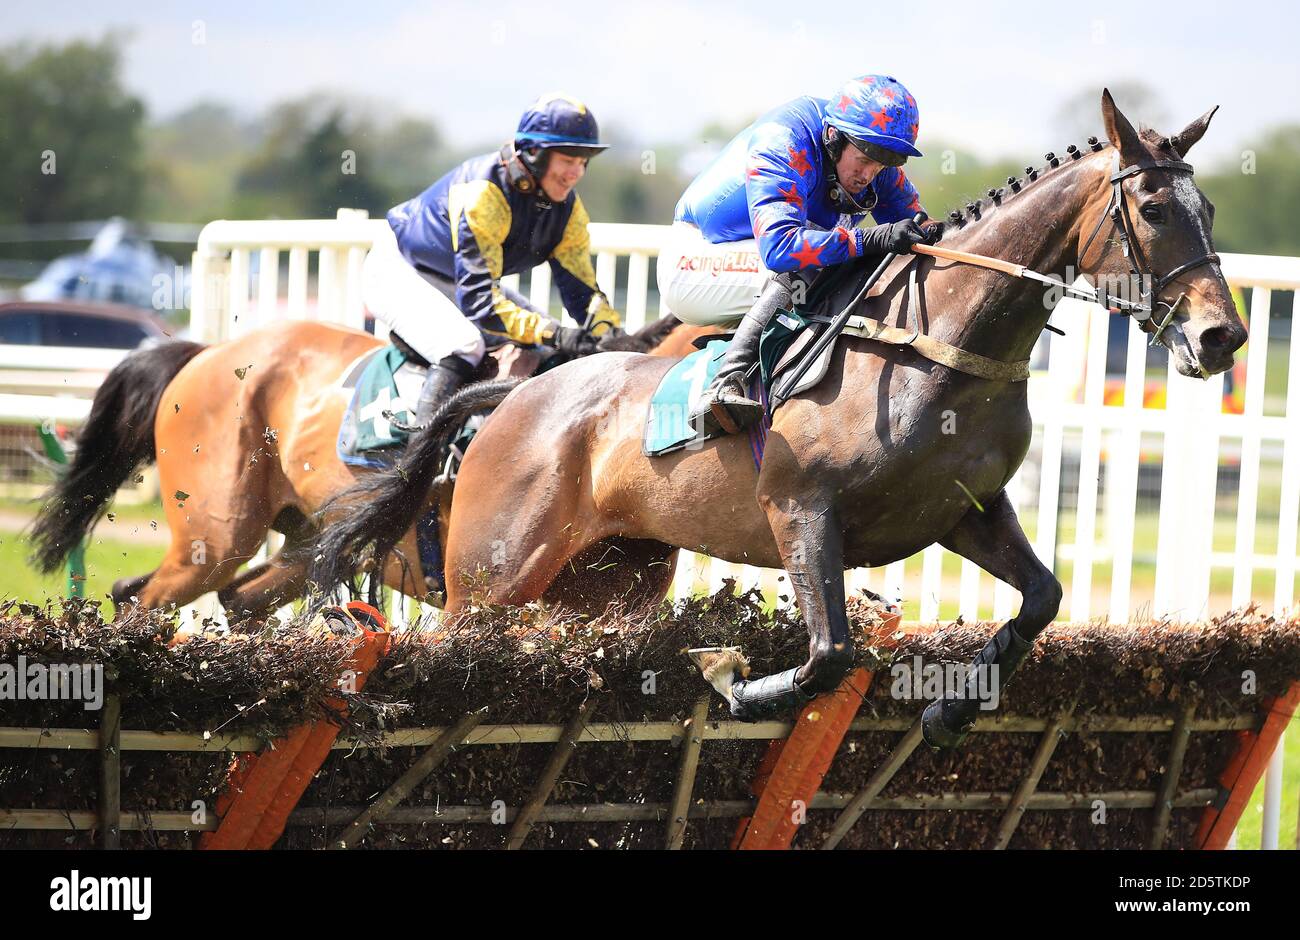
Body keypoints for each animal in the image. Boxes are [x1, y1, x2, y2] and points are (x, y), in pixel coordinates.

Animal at [306, 91, 1248, 748]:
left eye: (1209, 212)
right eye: (1155, 211)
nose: (1224, 336)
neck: (939, 345)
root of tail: (514, 401)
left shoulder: (965, 513)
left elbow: (1043, 599)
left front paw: (951, 713)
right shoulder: (801, 509)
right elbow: (830, 655)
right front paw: (733, 680)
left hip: (609, 585)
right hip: (489, 579)